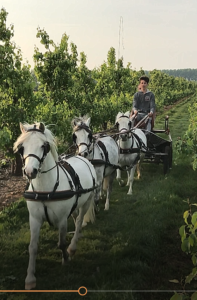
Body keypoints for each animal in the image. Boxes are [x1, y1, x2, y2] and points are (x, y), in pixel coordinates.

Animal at [12, 122, 96, 290]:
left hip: (87, 201)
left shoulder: (62, 219)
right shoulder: (34, 219)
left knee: (79, 221)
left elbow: (61, 243)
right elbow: (32, 247)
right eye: (22, 147)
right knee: (76, 216)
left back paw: (73, 246)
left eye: (43, 146)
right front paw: (30, 278)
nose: (30, 171)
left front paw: (66, 259)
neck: (45, 189)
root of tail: (81, 157)